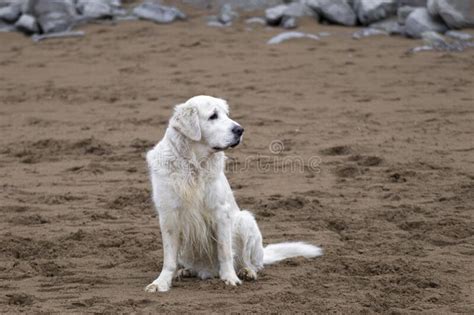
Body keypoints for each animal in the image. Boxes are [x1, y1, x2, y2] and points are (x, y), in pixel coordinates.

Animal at [144, 95, 322, 292]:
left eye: (227, 114)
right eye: (213, 116)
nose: (240, 130)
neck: (194, 164)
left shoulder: (220, 213)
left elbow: (224, 251)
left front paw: (230, 278)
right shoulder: (168, 216)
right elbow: (169, 258)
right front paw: (161, 282)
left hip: (245, 220)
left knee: (252, 263)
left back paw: (246, 272)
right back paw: (185, 271)